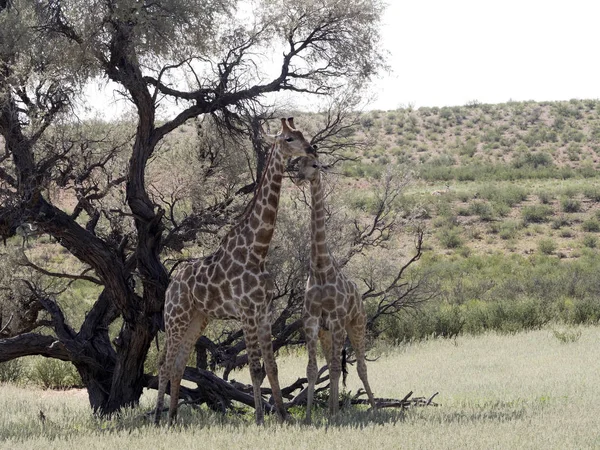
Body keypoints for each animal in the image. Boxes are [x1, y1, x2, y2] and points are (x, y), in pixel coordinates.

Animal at [154, 117, 314, 426]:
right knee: (164, 365)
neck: (257, 250)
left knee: (178, 365)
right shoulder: (248, 312)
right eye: (289, 139)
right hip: (175, 318)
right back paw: (157, 418)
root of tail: (170, 285)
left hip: (197, 319)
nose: (311, 149)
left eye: (302, 134)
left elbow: (271, 367)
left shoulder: (264, 312)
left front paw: (283, 416)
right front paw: (261, 419)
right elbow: (254, 368)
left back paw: (173, 418)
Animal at [298, 154, 378, 422]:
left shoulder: (336, 321)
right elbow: (312, 370)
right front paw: (309, 417)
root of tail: (361, 298)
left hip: (356, 325)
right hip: (327, 333)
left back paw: (374, 407)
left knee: (361, 366)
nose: (299, 176)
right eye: (298, 162)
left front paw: (333, 415)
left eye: (314, 165)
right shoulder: (312, 322)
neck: (321, 270)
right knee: (333, 364)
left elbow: (333, 368)